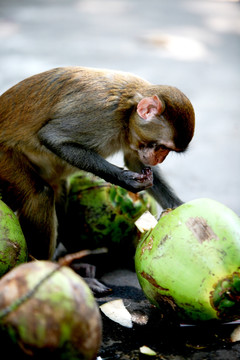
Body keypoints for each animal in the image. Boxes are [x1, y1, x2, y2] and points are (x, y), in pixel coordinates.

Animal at [0, 66, 194, 260]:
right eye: (161, 147)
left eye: (167, 150)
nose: (159, 158)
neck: (127, 112)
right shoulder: (99, 114)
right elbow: (52, 137)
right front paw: (125, 179)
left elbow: (134, 160)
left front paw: (177, 205)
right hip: (5, 160)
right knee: (41, 194)